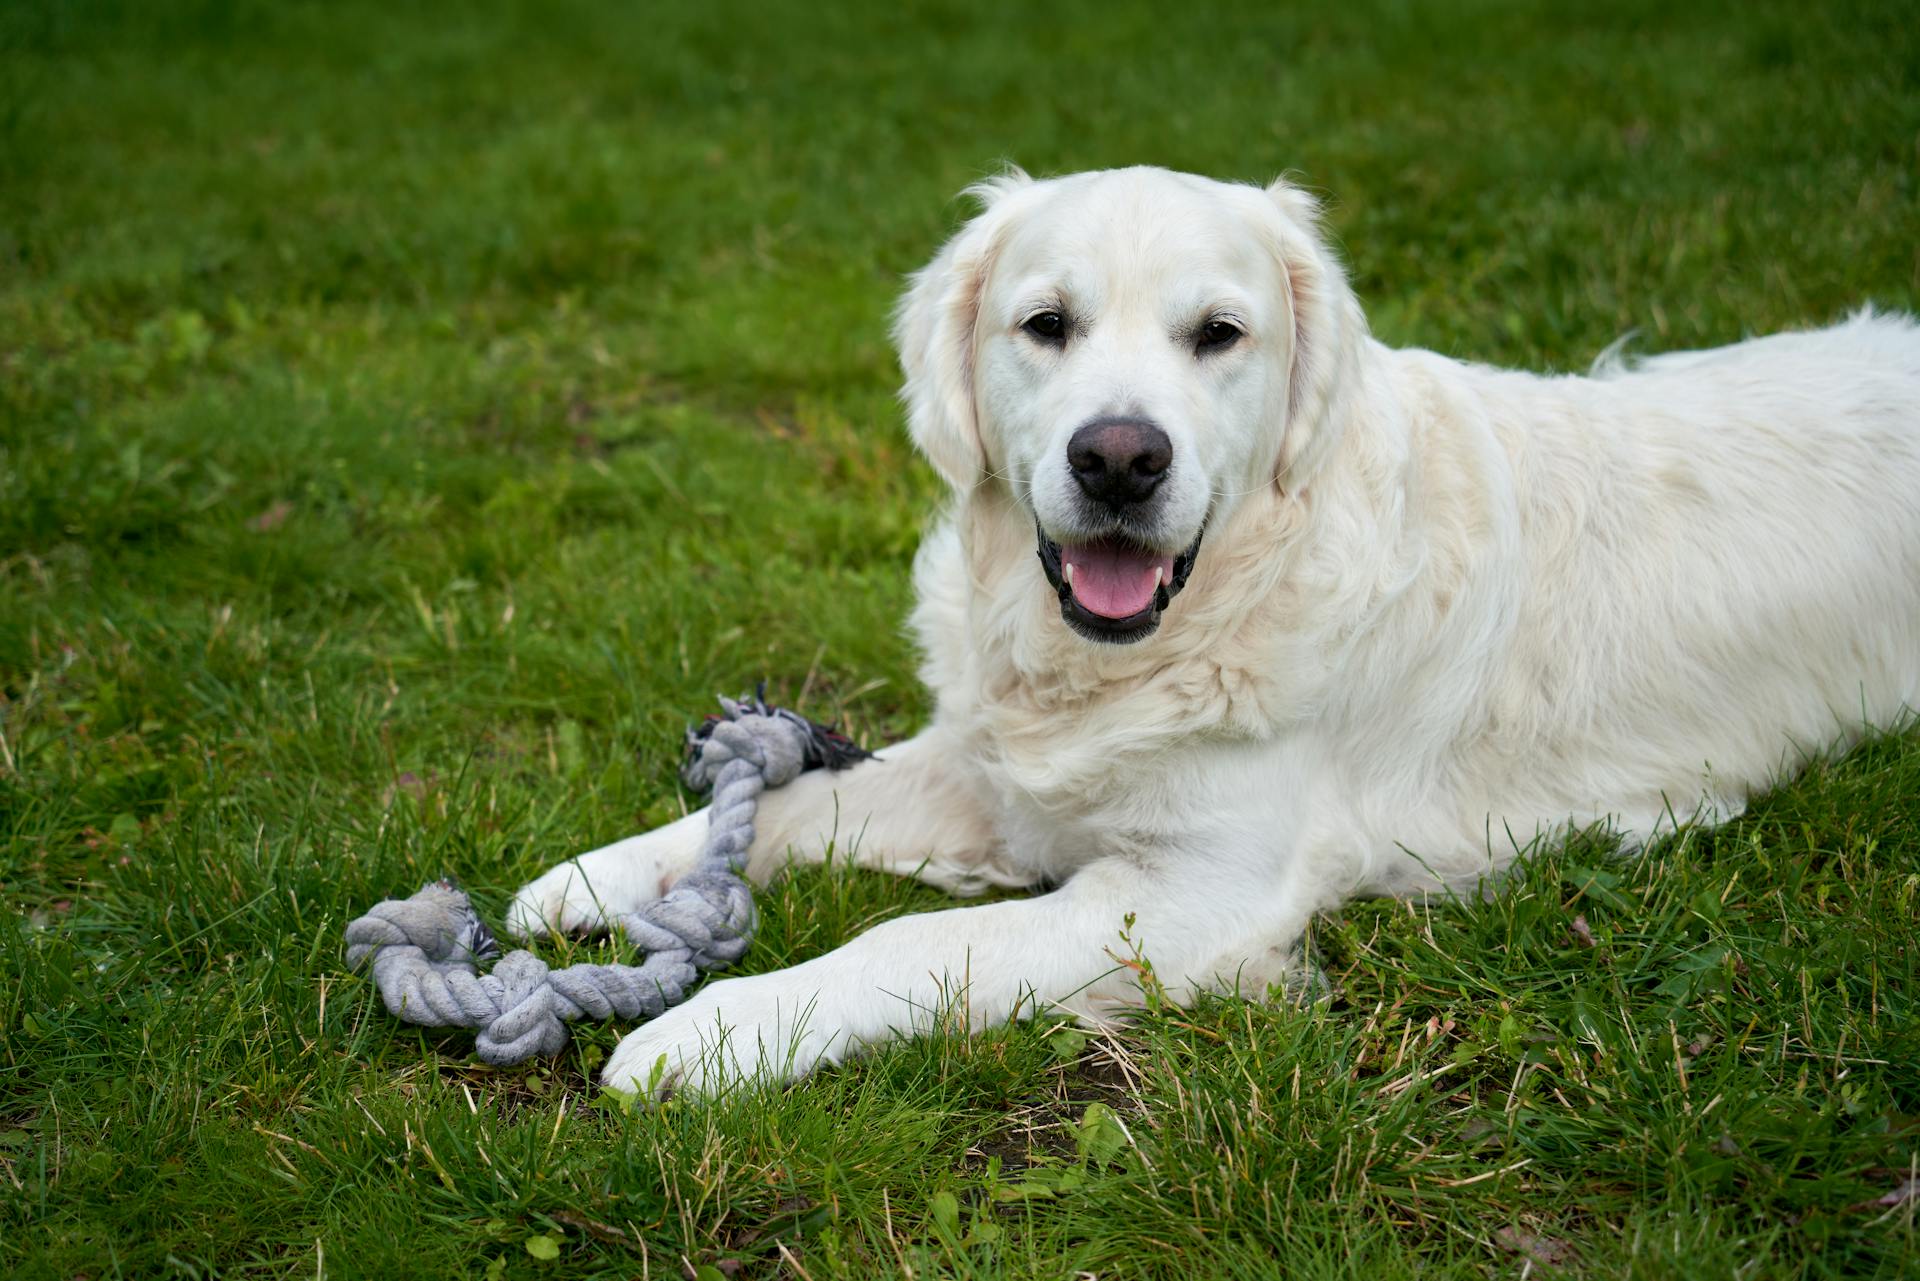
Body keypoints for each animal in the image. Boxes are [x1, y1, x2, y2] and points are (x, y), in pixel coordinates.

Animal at [503, 165, 1912, 1098]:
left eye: (1219, 334)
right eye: (1046, 324)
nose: (1121, 459)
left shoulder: (1198, 891)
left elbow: (918, 938)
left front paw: (710, 1033)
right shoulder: (992, 774)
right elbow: (802, 801)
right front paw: (600, 877)